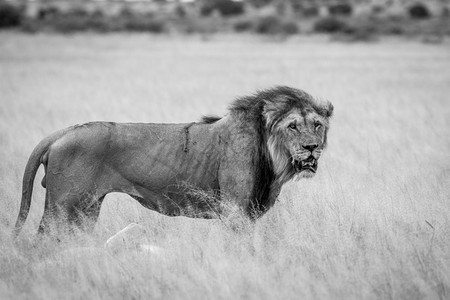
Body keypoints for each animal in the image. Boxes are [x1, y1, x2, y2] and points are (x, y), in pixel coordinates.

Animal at [13, 85, 330, 237]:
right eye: (292, 126)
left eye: (317, 125)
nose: (311, 148)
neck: (274, 159)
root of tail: (62, 133)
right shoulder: (235, 212)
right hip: (62, 207)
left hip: (86, 209)